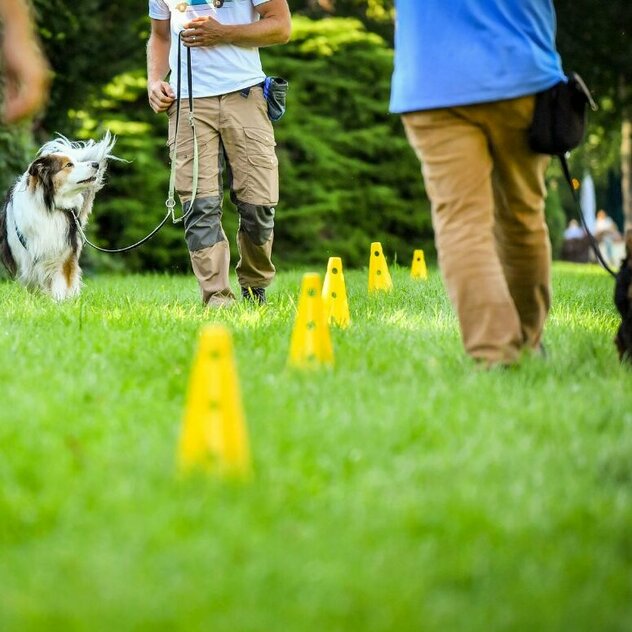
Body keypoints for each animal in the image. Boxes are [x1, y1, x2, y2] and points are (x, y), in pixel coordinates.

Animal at [0, 132, 115, 300]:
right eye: (68, 165)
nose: (95, 164)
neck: (50, 207)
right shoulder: (25, 257)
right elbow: (30, 281)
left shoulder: (63, 252)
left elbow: (60, 280)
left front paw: (59, 302)